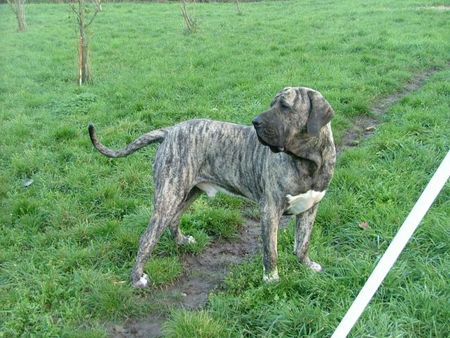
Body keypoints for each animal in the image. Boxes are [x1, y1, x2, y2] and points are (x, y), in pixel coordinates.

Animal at [89, 86, 334, 286]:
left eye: (285, 106)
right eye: (271, 104)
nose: (255, 122)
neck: (307, 161)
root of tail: (170, 130)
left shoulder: (311, 208)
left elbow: (302, 243)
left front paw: (306, 266)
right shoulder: (270, 210)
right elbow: (270, 251)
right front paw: (271, 279)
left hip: (189, 192)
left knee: (174, 219)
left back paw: (181, 241)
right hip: (168, 195)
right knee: (147, 238)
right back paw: (137, 277)